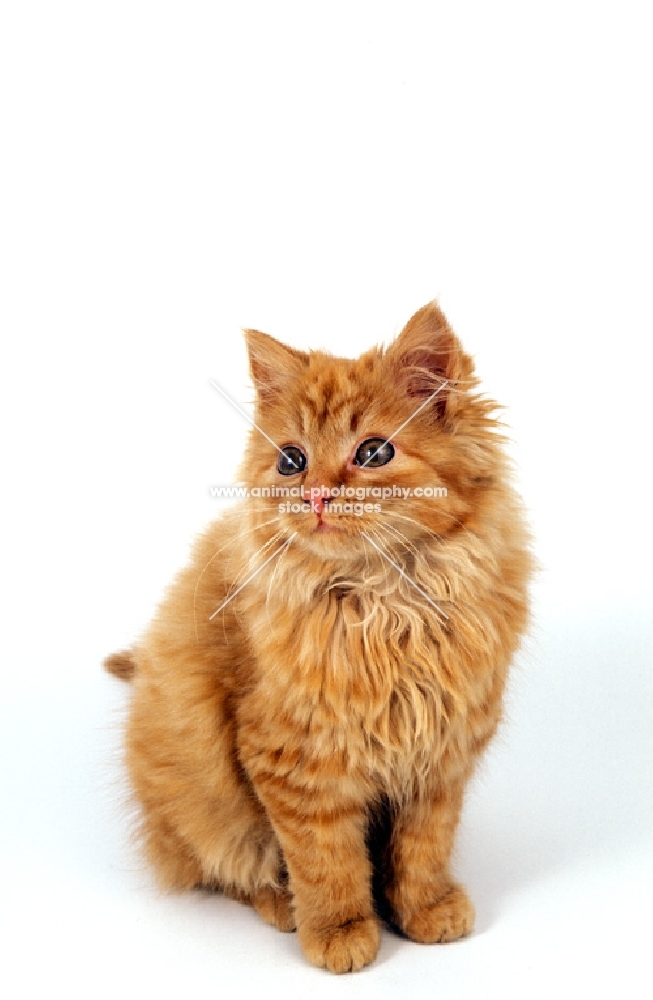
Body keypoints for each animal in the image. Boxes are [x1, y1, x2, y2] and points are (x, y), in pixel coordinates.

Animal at [105, 302, 528, 968]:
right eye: (291, 461)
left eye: (374, 452)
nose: (316, 495)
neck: (385, 606)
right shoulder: (294, 759)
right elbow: (325, 860)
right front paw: (338, 931)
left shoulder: (441, 754)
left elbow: (423, 848)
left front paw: (425, 909)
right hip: (201, 794)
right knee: (231, 865)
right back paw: (283, 905)